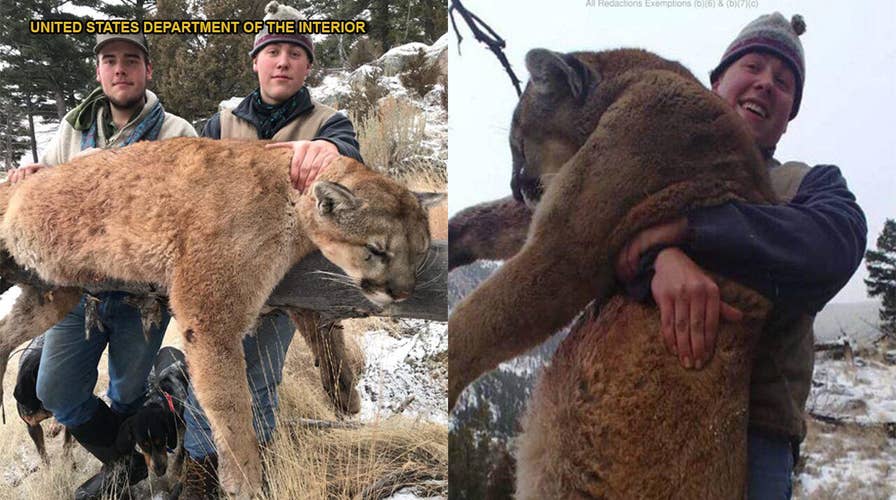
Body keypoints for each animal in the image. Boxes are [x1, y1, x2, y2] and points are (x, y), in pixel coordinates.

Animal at [0, 137, 442, 498]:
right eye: (377, 249)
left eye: (421, 251)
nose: (403, 292)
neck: (293, 203)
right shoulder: (210, 313)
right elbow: (231, 403)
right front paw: (244, 477)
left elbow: (323, 332)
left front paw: (344, 395)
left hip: (53, 294)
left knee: (9, 331)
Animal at [448, 48, 777, 497]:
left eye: (518, 143)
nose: (516, 186)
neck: (637, 78)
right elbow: (495, 222)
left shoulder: (566, 249)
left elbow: (479, 319)